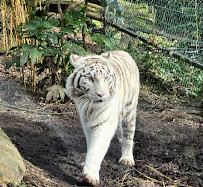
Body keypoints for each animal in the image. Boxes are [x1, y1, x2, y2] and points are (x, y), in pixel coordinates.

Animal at [66, 50, 140, 186]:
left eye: (106, 77)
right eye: (90, 78)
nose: (102, 94)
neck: (91, 107)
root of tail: (125, 52)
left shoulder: (104, 124)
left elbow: (97, 147)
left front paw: (90, 176)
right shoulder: (86, 124)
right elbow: (90, 143)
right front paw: (85, 165)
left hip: (130, 111)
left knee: (128, 136)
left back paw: (127, 159)